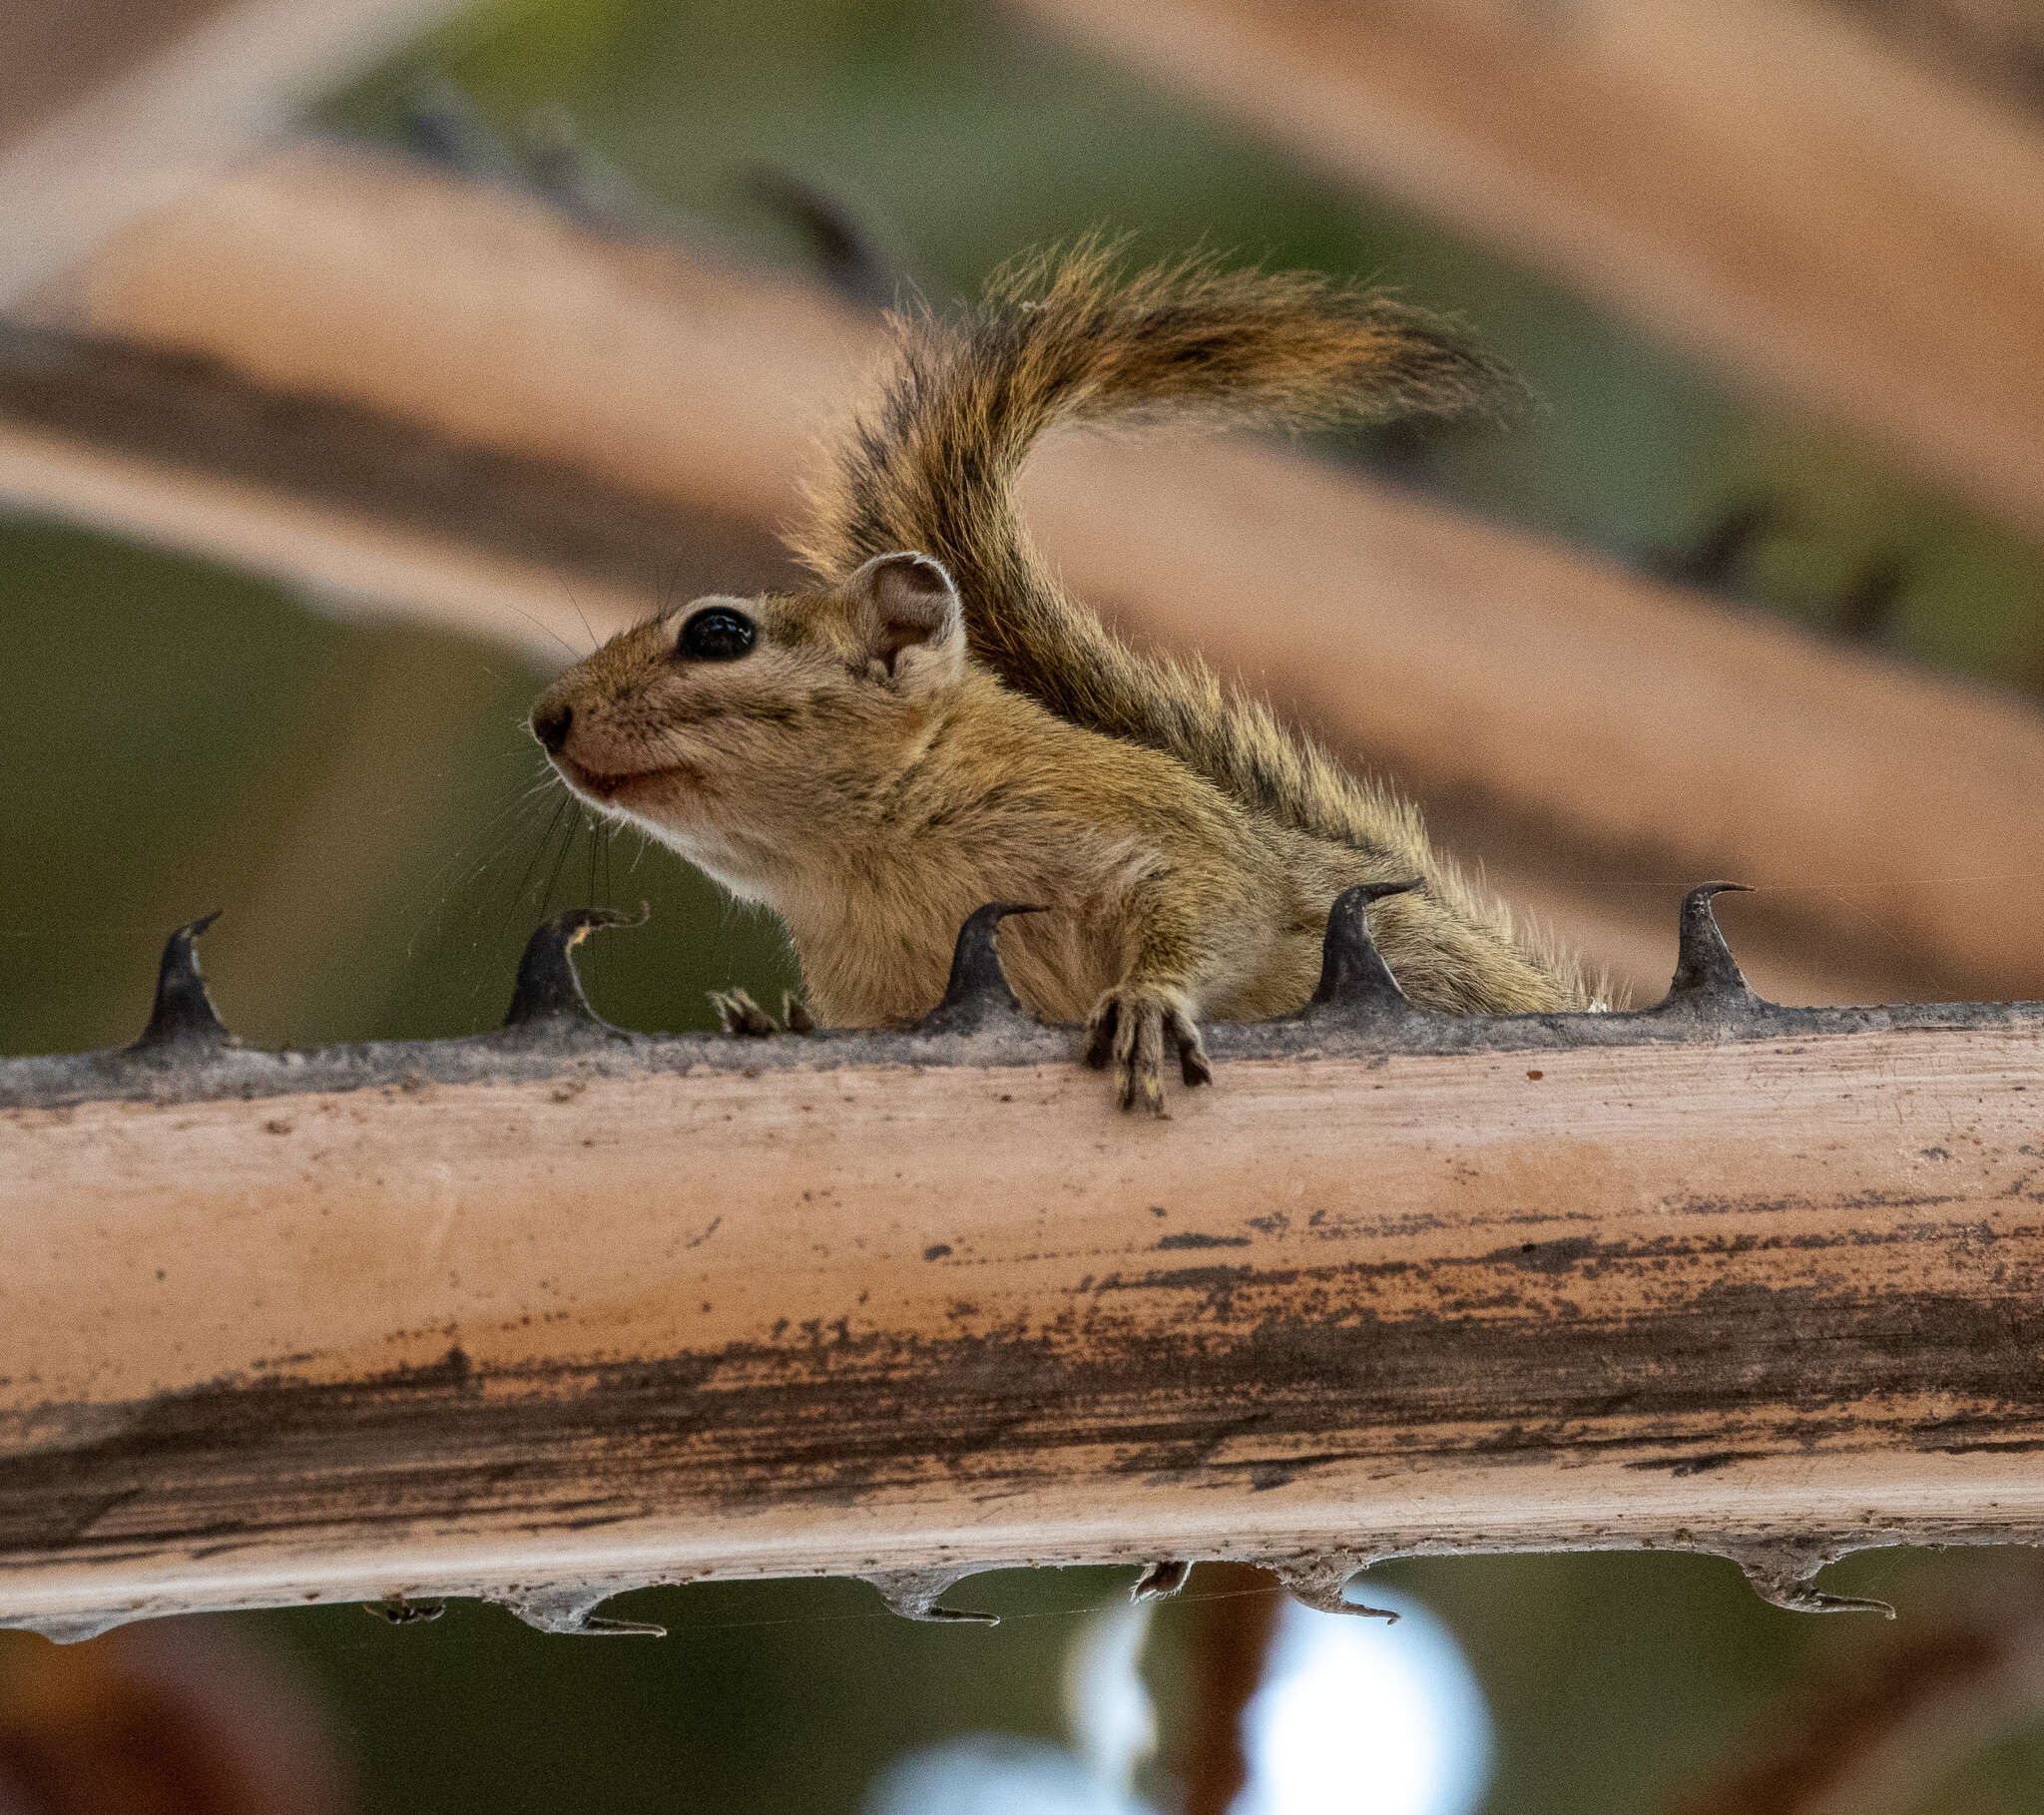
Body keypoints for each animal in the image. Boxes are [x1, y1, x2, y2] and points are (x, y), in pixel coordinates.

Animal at [527, 245, 1594, 1112]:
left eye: (719, 633)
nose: (546, 717)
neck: (864, 862)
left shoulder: (1154, 824)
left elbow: (1216, 901)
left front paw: (1147, 1003)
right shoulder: (880, 998)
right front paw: (772, 1028)